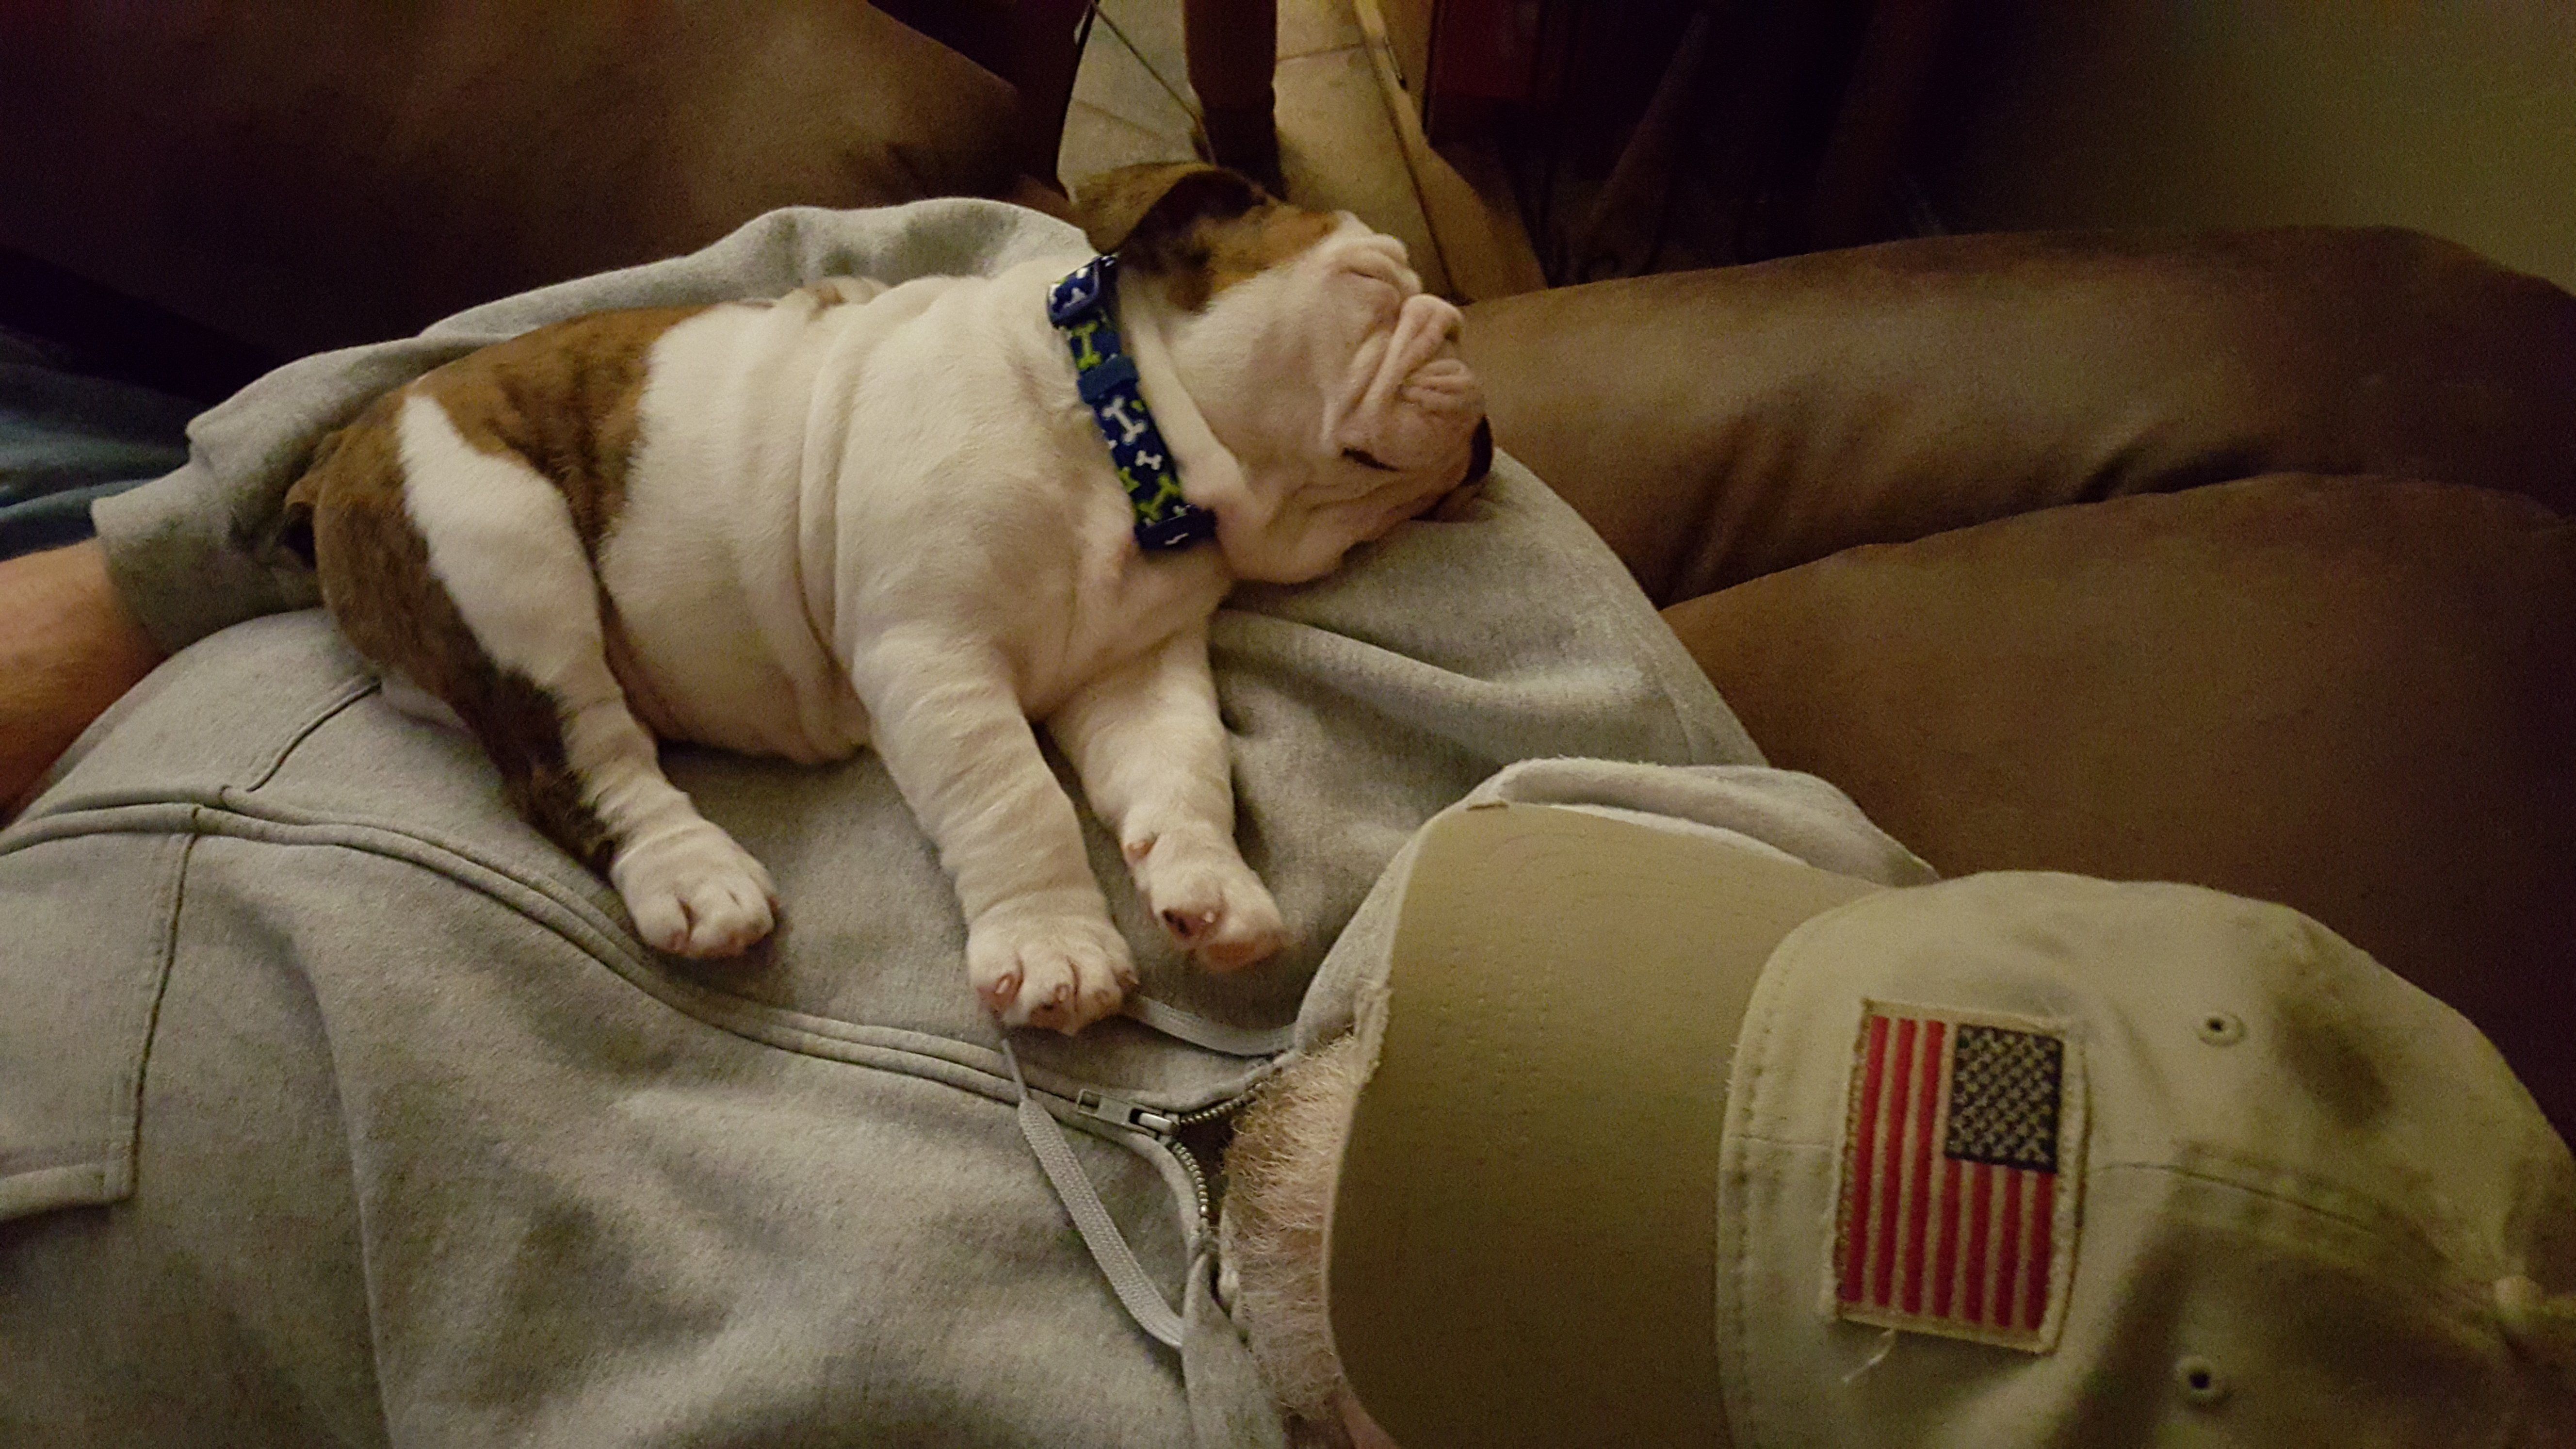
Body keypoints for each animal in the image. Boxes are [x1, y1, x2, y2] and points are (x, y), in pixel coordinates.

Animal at [283, 164, 1492, 1033]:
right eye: (1373, 289)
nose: (1482, 409)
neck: (1122, 435)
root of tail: (341, 446)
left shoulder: (1133, 670)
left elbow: (1183, 764)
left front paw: (1207, 878)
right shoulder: (933, 652)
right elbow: (1017, 797)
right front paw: (1056, 946)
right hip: (499, 548)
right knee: (581, 760)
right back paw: (694, 872)